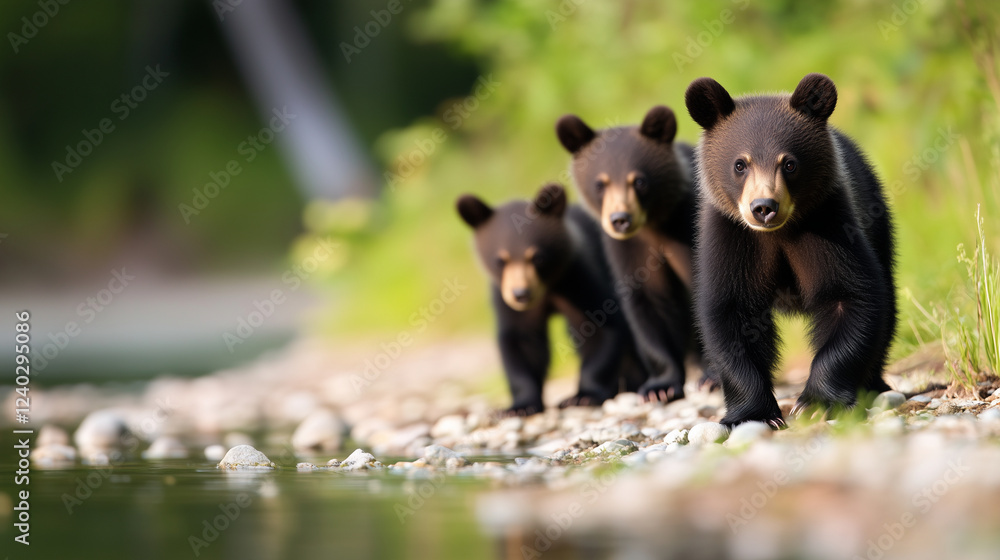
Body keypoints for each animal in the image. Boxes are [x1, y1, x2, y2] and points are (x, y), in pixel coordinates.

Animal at [456, 183, 647, 416]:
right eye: (501, 260)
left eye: (537, 257)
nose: (521, 294)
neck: (548, 288)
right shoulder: (507, 301)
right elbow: (522, 342)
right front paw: (521, 405)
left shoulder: (580, 278)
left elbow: (600, 327)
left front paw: (583, 396)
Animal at [556, 105, 718, 403]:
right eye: (601, 183)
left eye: (639, 181)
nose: (621, 219)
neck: (654, 225)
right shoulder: (629, 250)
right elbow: (649, 305)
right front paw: (661, 386)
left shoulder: (689, 230)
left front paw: (712, 376)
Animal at [684, 73, 896, 427]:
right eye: (740, 164)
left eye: (790, 163)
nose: (764, 207)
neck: (777, 235)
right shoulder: (731, 237)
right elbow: (730, 313)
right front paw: (751, 415)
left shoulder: (829, 224)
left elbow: (850, 296)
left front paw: (817, 404)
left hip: (877, 222)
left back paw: (873, 384)